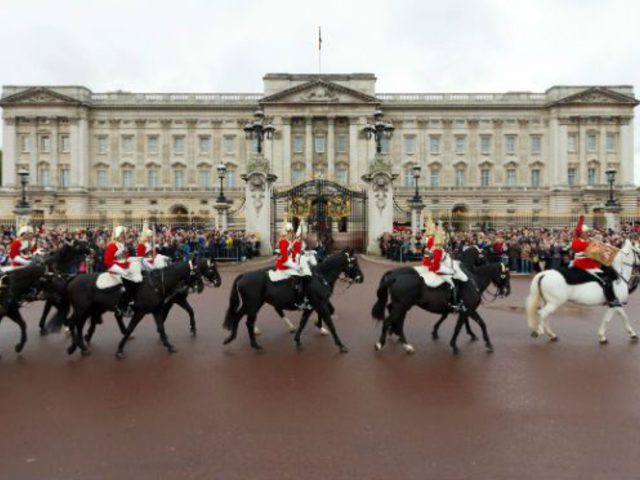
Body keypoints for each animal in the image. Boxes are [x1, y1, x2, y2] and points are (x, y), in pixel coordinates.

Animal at [224, 249, 364, 354]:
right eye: (354, 262)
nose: (361, 278)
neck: (320, 276)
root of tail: (244, 275)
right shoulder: (321, 304)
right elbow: (330, 323)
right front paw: (341, 345)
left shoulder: (311, 306)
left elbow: (303, 322)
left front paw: (298, 339)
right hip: (253, 305)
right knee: (249, 322)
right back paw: (254, 344)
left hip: (250, 305)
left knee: (237, 317)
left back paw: (231, 338)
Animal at [370, 260, 510, 354]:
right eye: (504, 276)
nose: (507, 291)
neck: (473, 282)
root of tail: (394, 277)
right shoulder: (466, 310)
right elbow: (458, 327)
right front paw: (454, 344)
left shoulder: (468, 310)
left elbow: (482, 324)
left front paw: (488, 344)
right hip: (401, 306)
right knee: (389, 321)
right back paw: (381, 343)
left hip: (403, 307)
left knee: (397, 321)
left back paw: (404, 343)